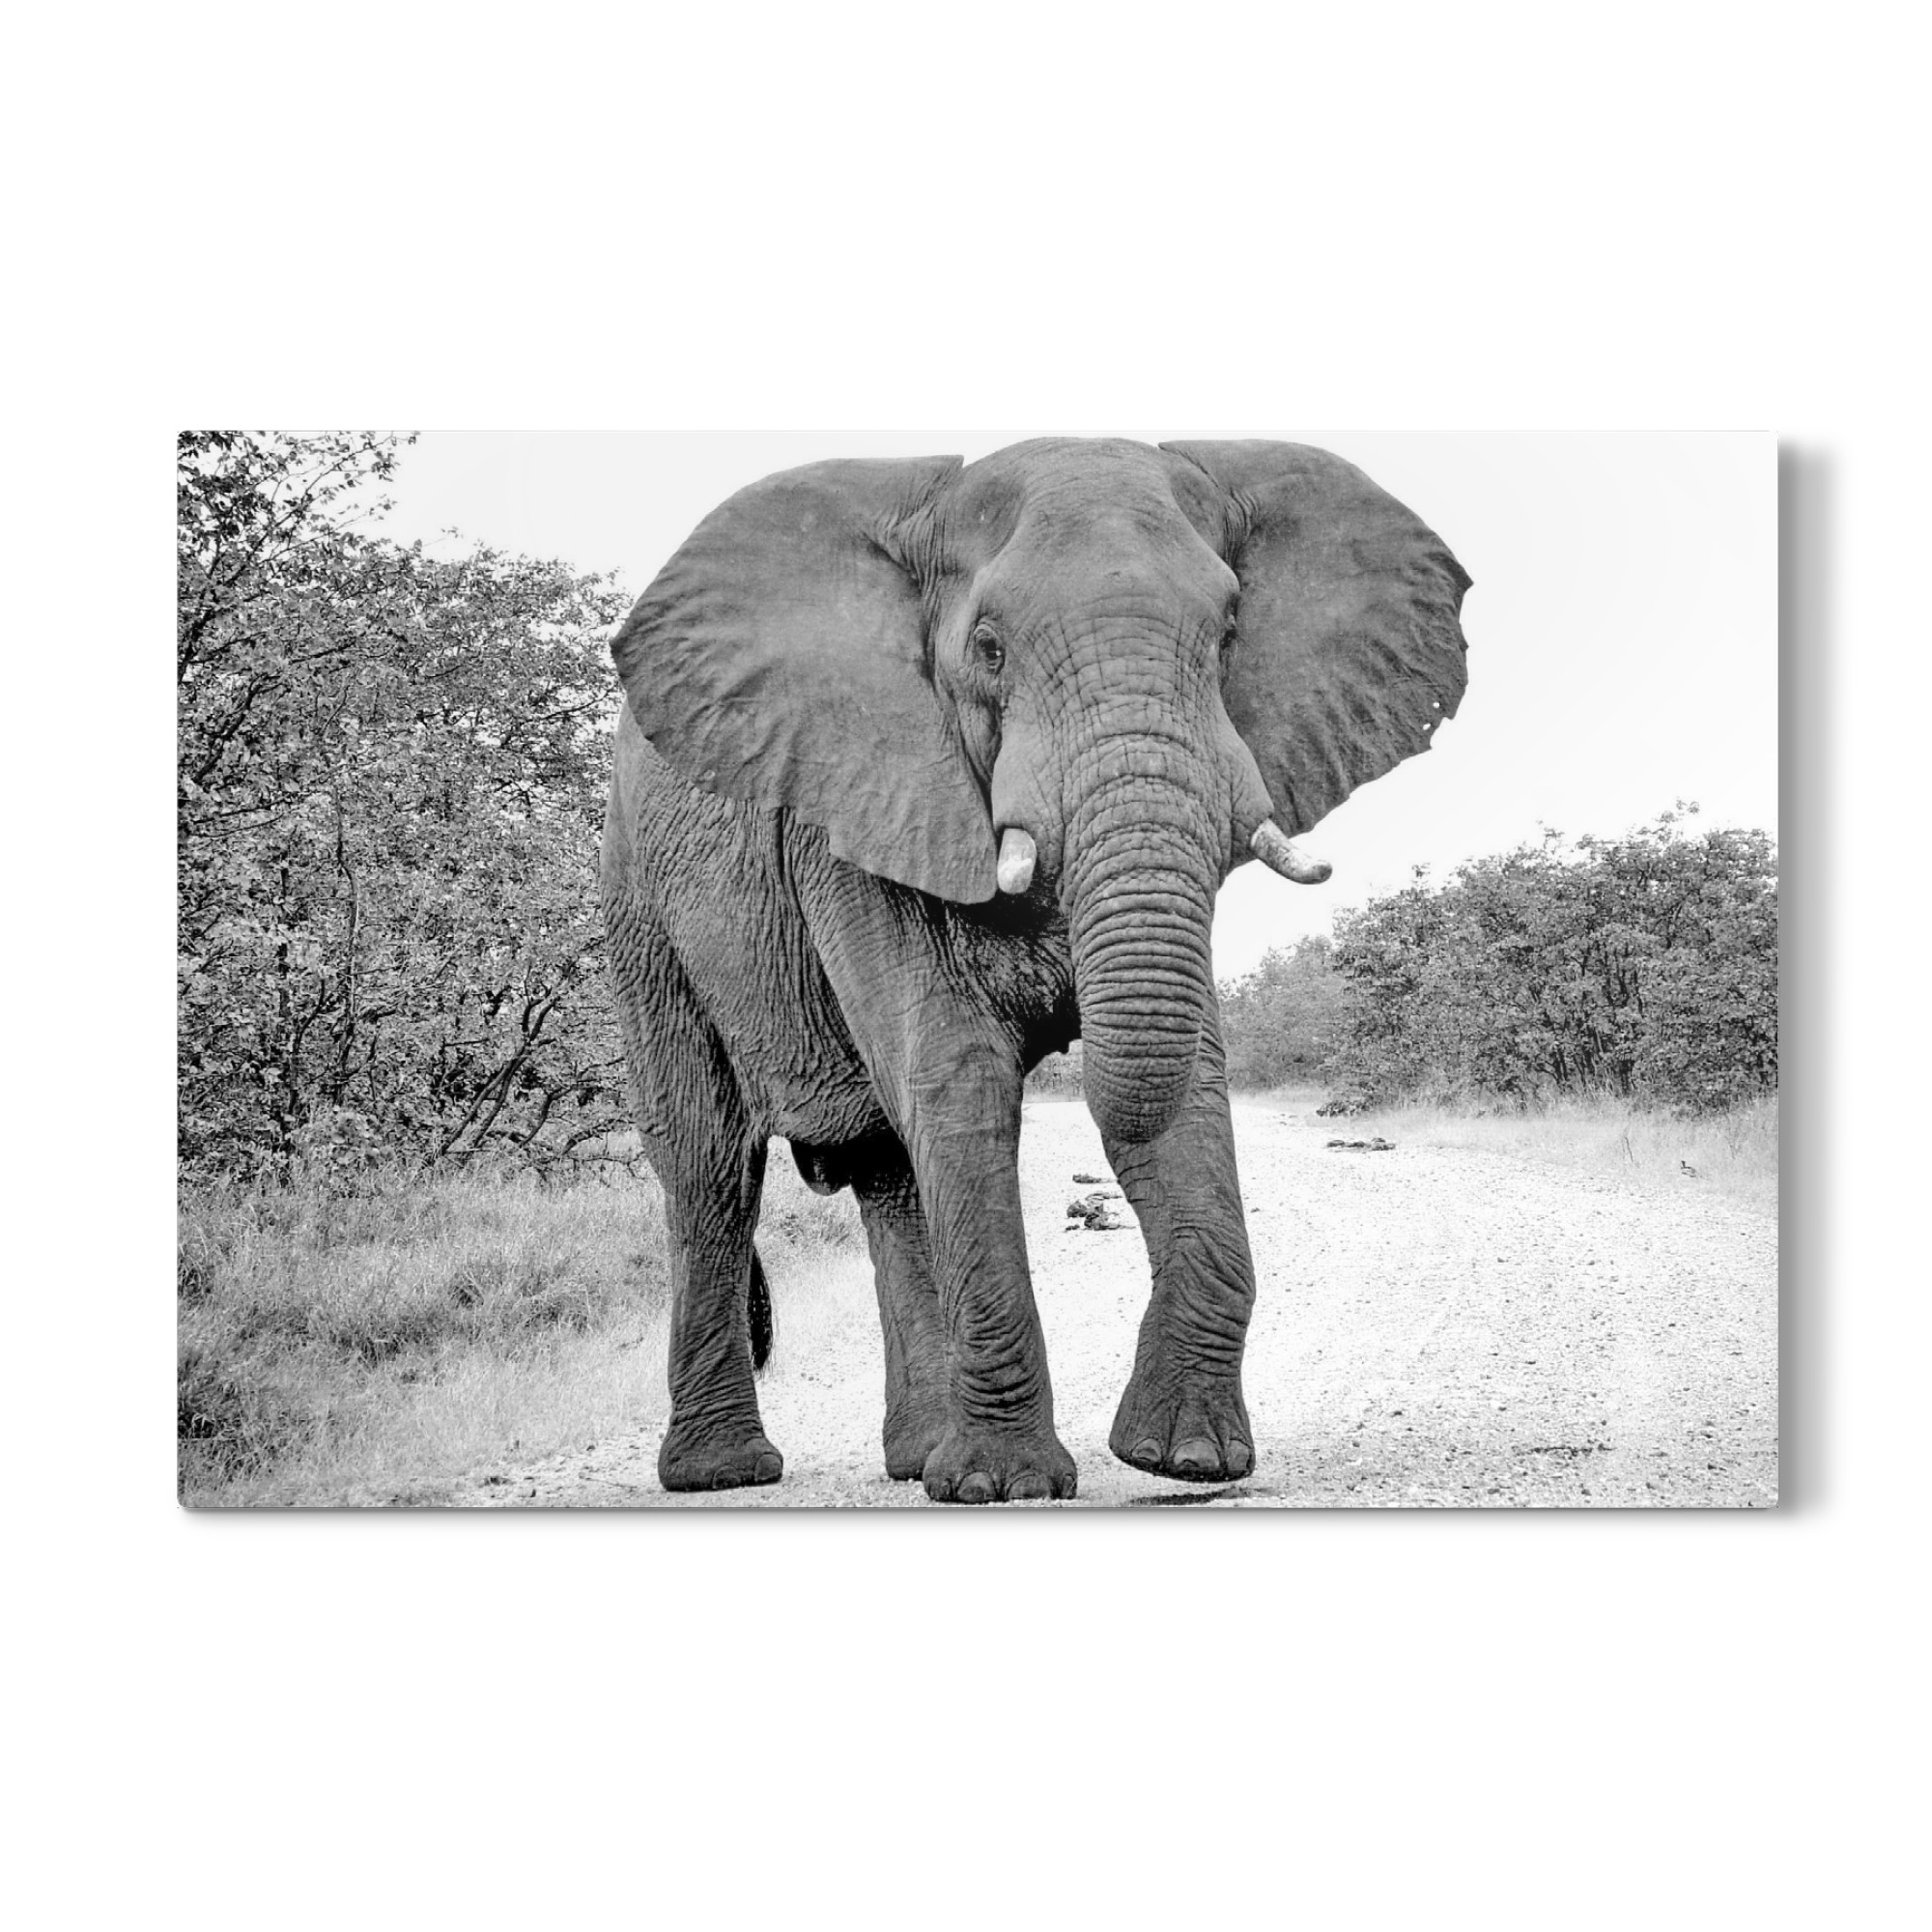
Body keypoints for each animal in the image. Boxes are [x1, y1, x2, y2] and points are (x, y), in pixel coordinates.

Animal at [601, 438, 1470, 1502]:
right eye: (988, 648)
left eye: (1228, 632)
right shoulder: (860, 809)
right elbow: (958, 1078)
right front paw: (1003, 1485)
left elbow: (1189, 1080)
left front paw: (1183, 1457)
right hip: (641, 916)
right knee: (710, 1168)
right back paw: (726, 1473)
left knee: (889, 1173)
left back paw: (916, 1459)